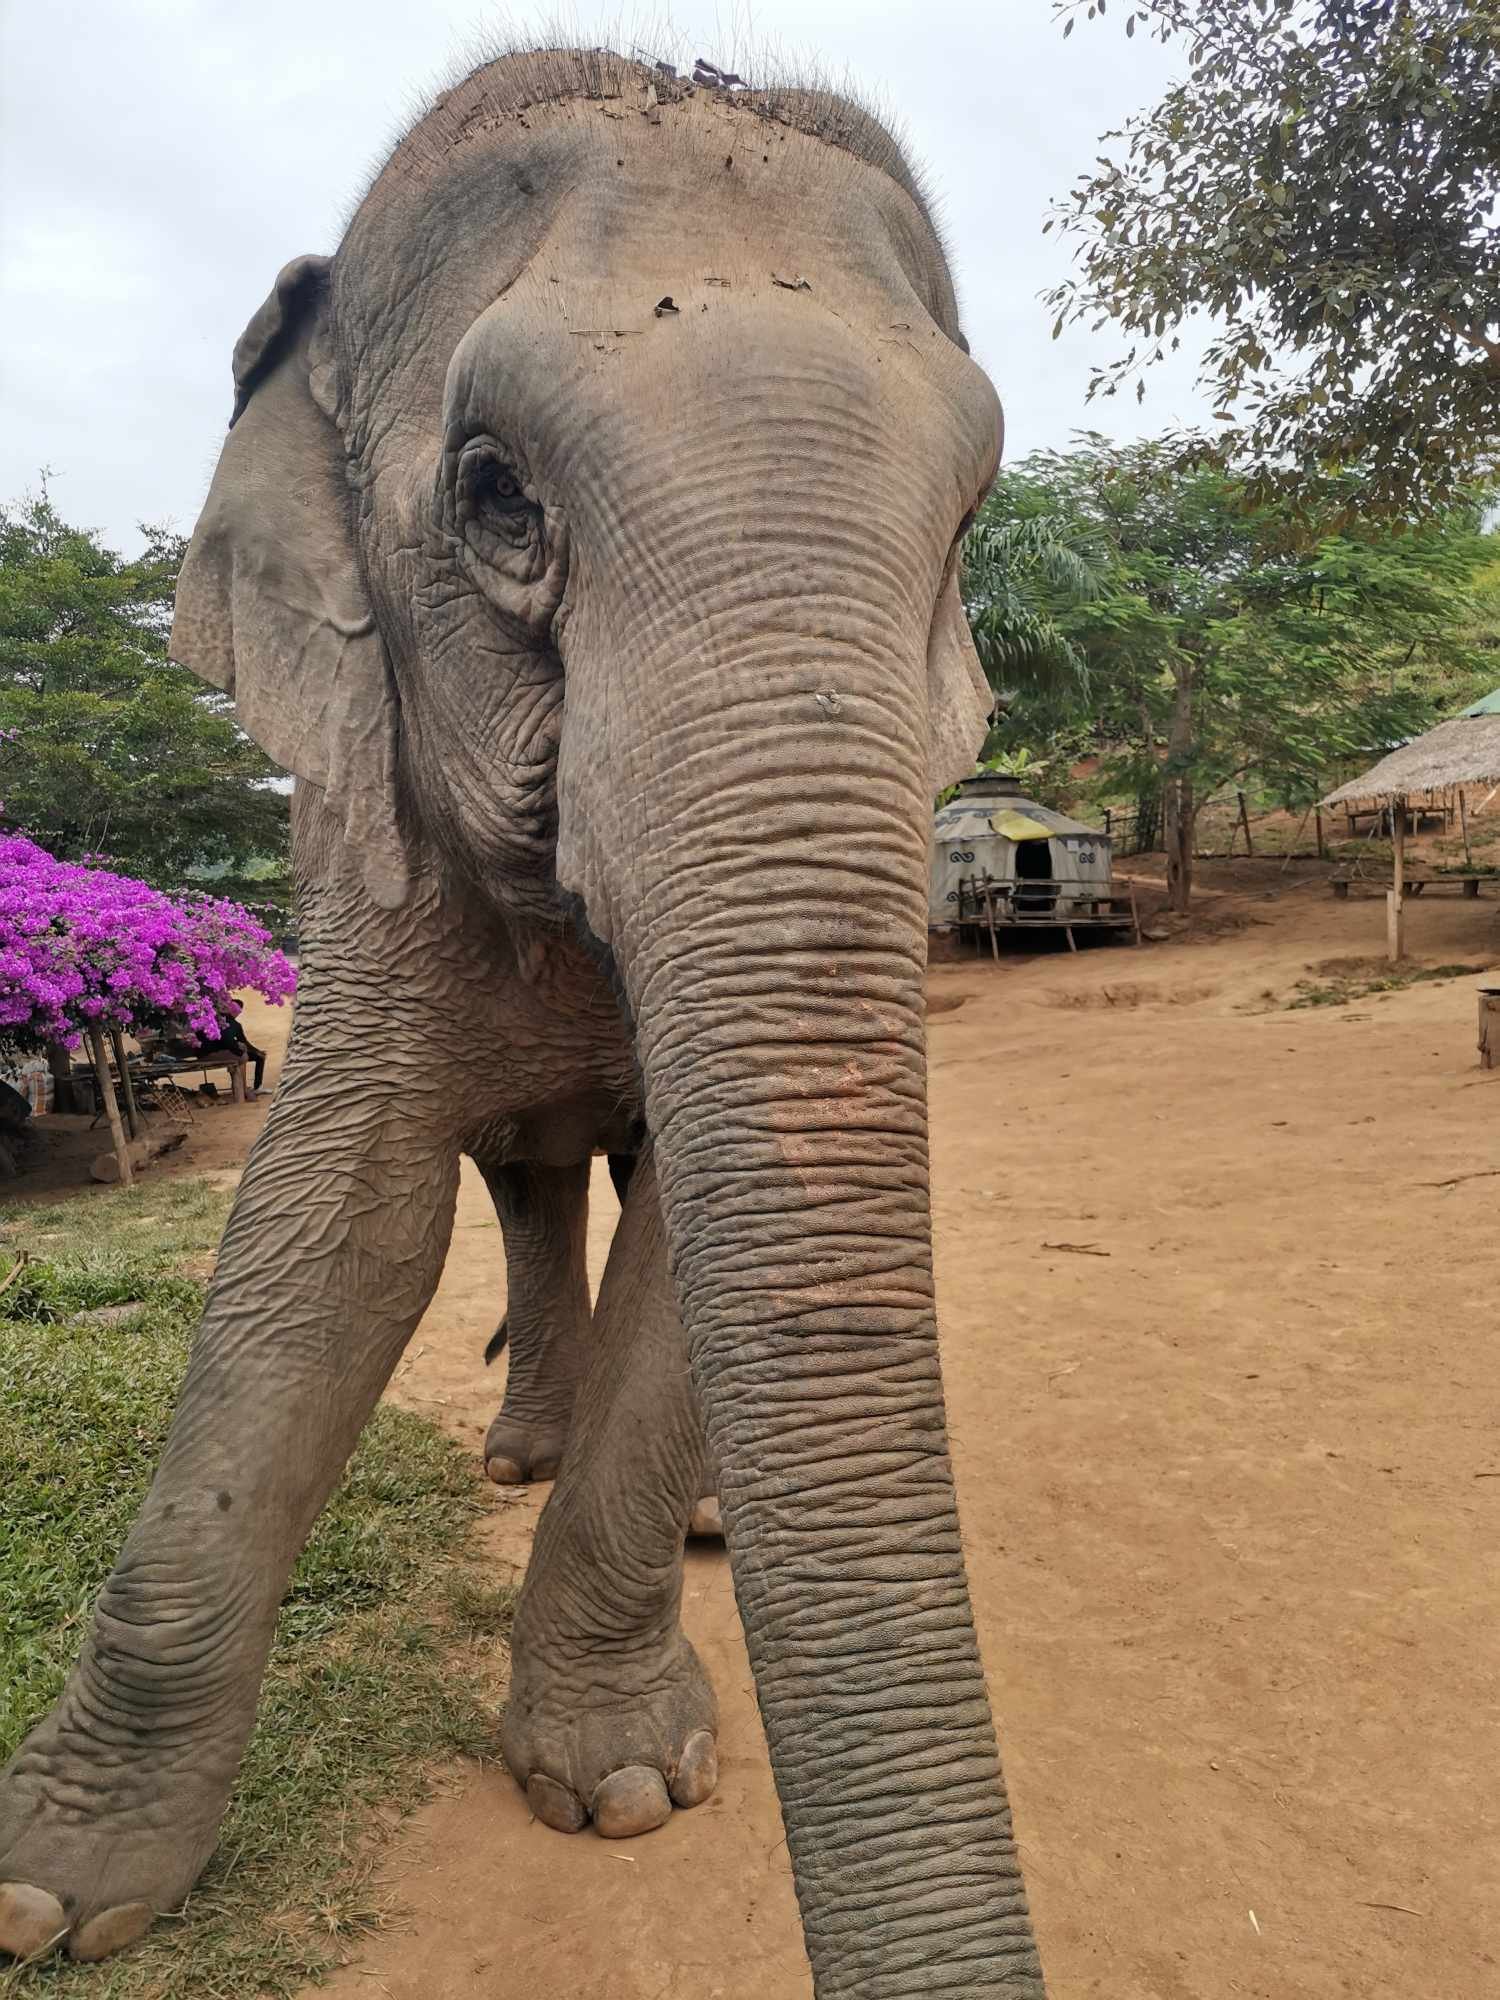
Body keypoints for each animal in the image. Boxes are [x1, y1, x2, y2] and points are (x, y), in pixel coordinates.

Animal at [0, 45, 1046, 1997]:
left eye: (968, 528)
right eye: (494, 495)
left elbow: (685, 1249)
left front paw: (624, 1787)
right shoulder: (367, 855)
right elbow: (332, 1239)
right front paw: (54, 1894)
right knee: (524, 1185)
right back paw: (522, 1451)